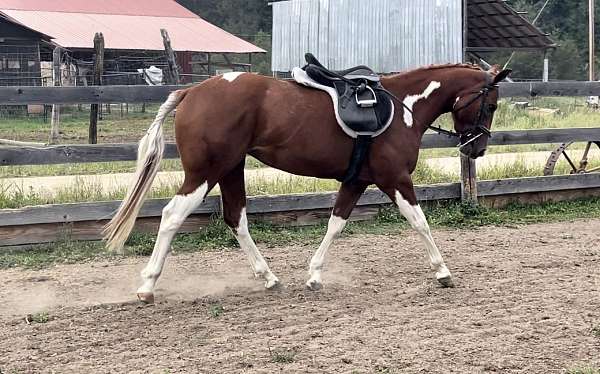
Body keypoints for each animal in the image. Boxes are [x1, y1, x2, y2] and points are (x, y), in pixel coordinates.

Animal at [104, 65, 510, 304]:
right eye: (490, 104)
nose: (477, 148)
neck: (403, 109)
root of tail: (194, 91)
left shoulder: (357, 181)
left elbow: (336, 224)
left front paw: (314, 275)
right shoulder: (394, 178)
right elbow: (420, 222)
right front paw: (443, 272)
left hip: (231, 168)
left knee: (236, 219)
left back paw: (269, 278)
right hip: (205, 172)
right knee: (173, 216)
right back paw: (147, 287)